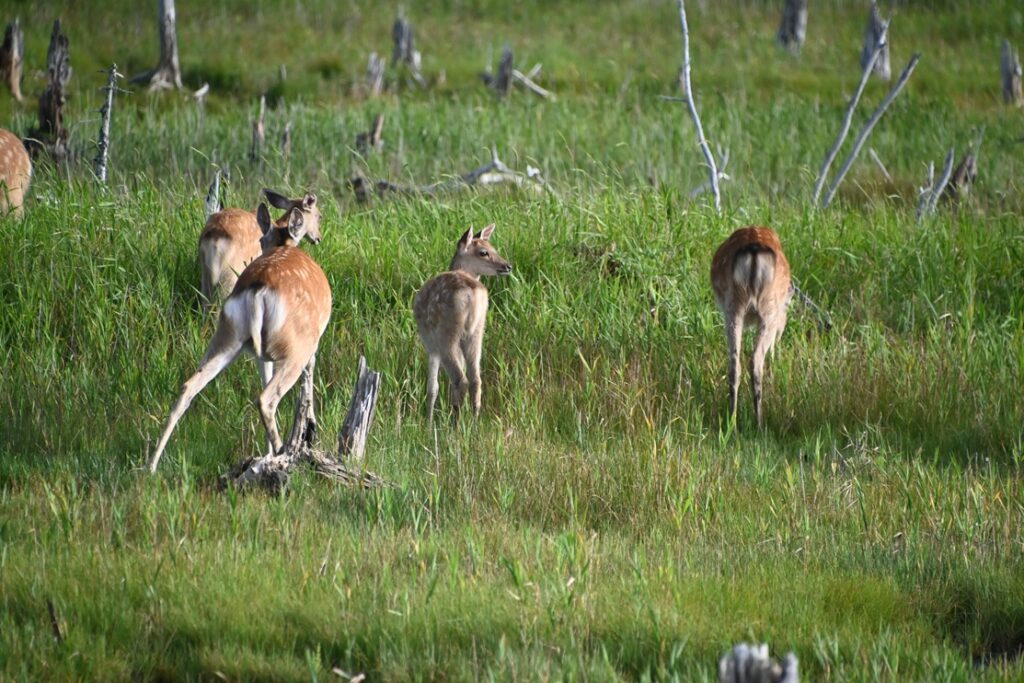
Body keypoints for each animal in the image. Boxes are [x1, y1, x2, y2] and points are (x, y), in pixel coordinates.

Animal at [148, 202, 329, 475]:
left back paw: (151, 465)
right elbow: (308, 386)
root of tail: (257, 292)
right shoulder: (313, 345)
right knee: (267, 398)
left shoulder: (262, 355)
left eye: (262, 240)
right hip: (296, 346)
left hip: (228, 335)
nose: (318, 237)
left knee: (189, 385)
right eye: (318, 216)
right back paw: (281, 455)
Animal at [411, 225, 512, 421]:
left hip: (446, 335)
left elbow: (432, 388)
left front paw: (427, 422)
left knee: (460, 379)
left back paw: (455, 421)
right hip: (476, 331)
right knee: (475, 379)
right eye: (484, 252)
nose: (507, 266)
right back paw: (474, 420)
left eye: (492, 249)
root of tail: (471, 294)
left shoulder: (431, 346)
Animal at [708, 227, 794, 428]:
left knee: (734, 364)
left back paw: (732, 421)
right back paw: (759, 424)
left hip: (734, 307)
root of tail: (754, 250)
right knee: (755, 360)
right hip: (767, 309)